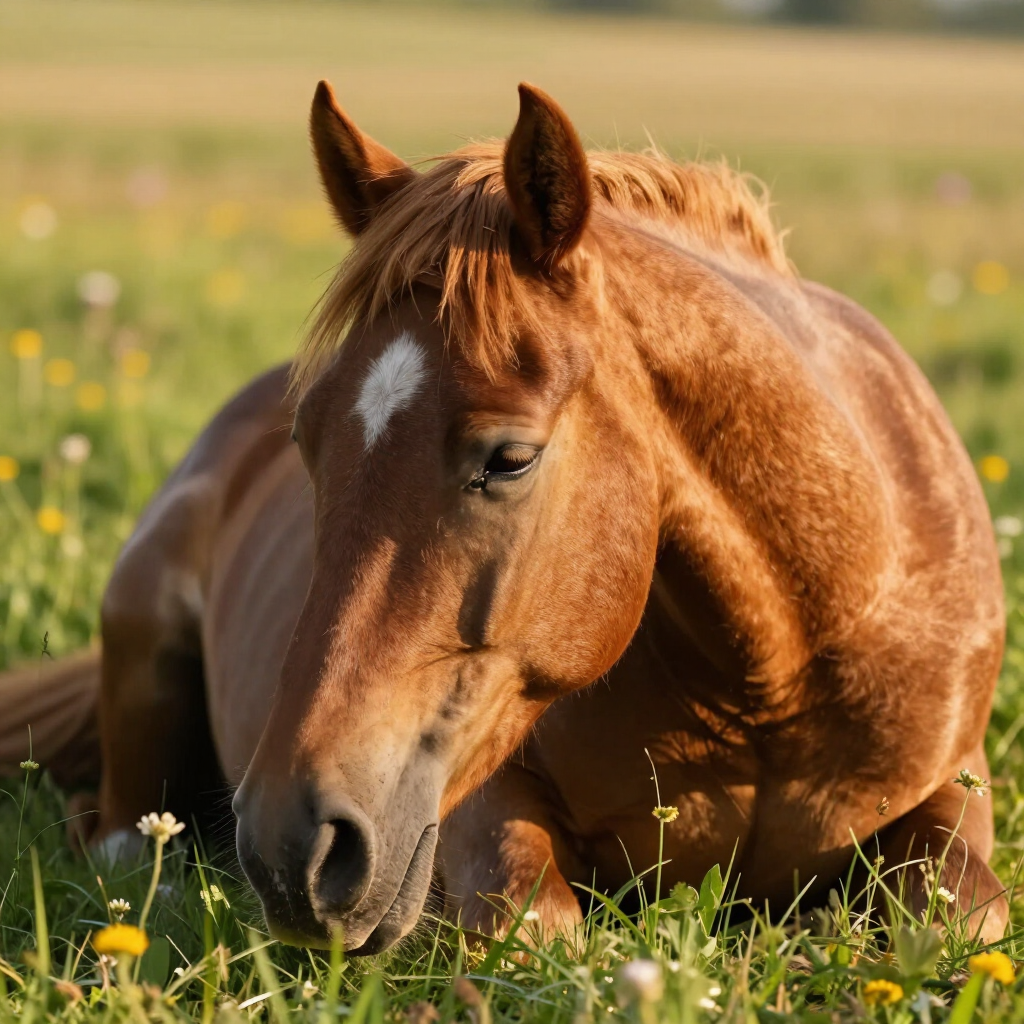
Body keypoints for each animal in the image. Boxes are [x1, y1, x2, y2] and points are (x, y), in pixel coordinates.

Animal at [1, 81, 1007, 952]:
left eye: (510, 458)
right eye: (306, 441)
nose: (290, 846)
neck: (775, 678)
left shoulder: (954, 788)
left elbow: (967, 912)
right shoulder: (475, 801)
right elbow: (532, 923)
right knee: (115, 841)